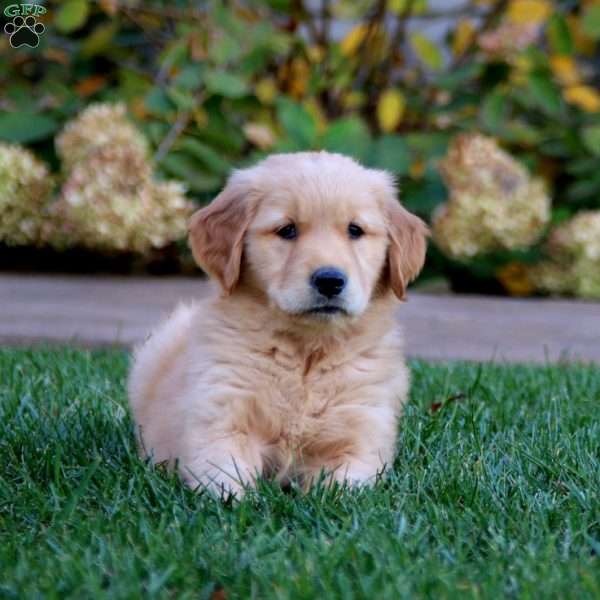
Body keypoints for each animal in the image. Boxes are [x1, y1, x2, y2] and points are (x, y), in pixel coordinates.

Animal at [127, 152, 426, 494]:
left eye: (355, 230)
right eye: (287, 230)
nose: (330, 280)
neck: (306, 352)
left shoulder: (360, 436)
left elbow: (342, 490)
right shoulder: (220, 420)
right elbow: (226, 479)